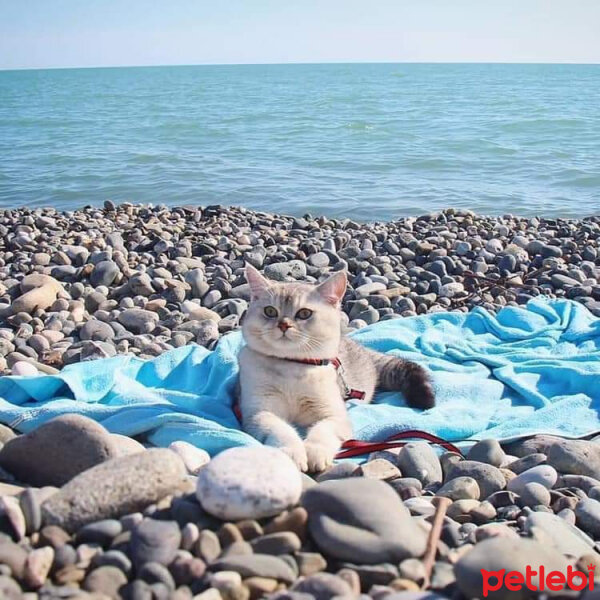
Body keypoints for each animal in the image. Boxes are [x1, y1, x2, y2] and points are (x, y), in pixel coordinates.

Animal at [238, 264, 436, 472]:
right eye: (270, 311)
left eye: (304, 313)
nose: (283, 324)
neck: (290, 365)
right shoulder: (259, 411)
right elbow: (280, 429)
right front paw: (292, 453)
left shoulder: (334, 414)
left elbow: (322, 431)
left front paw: (315, 452)